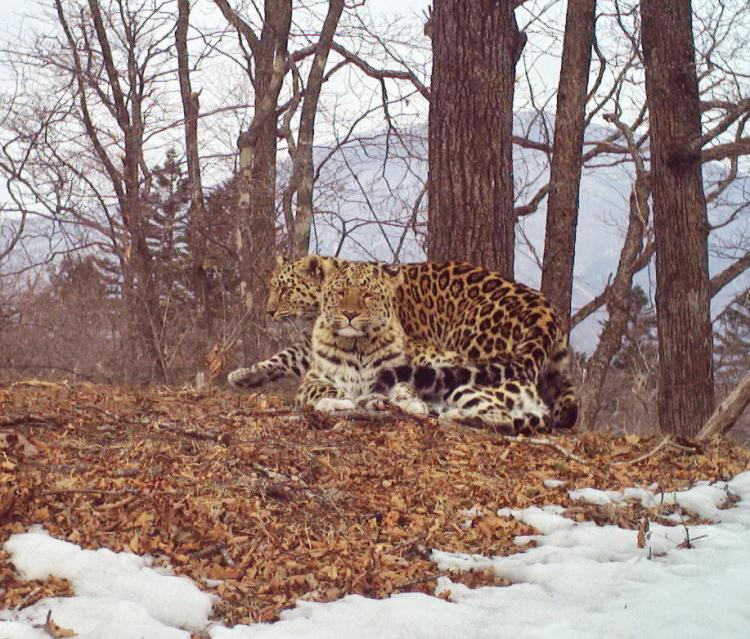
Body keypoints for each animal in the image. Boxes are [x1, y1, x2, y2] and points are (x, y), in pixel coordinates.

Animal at [231, 254, 580, 430]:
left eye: (285, 289)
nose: (269, 311)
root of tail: (546, 313)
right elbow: (287, 356)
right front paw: (248, 374)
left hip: (480, 351)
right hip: (556, 370)